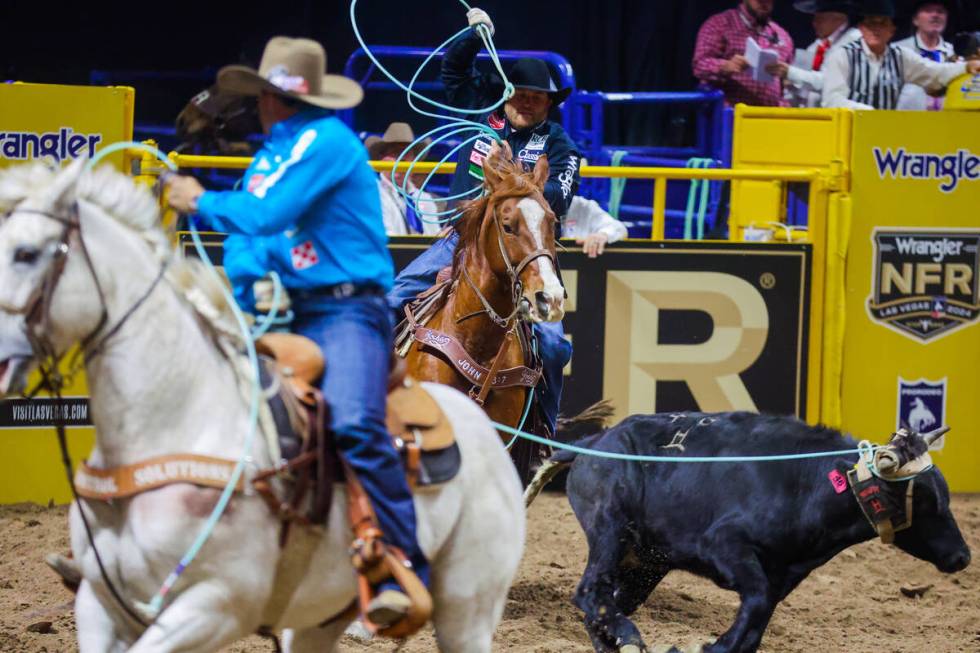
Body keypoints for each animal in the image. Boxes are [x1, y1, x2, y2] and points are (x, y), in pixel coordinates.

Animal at [0, 159, 524, 652]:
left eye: (26, 253)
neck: (176, 419)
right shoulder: (101, 605)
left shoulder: (217, 605)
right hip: (318, 617)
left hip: (466, 610)